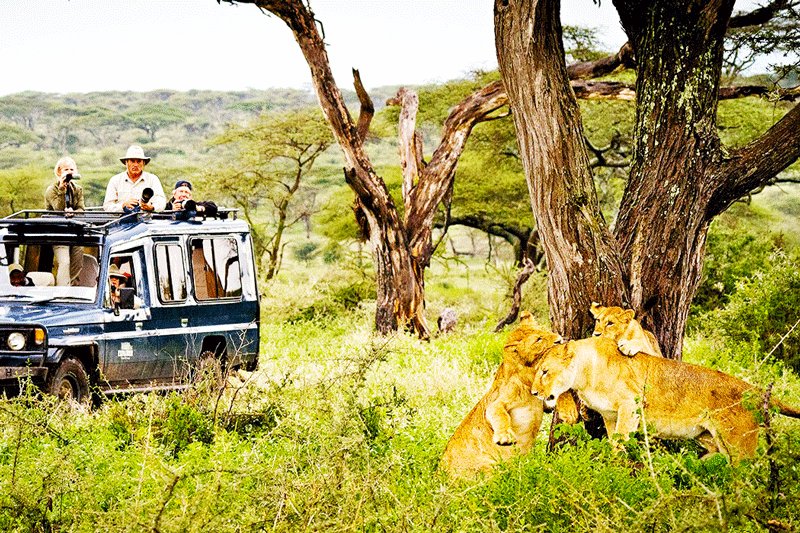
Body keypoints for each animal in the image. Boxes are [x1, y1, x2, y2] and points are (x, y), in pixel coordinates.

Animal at [440, 310, 580, 476]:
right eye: (538, 340)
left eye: (545, 330)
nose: (560, 340)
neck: (530, 375)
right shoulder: (499, 400)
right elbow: (499, 414)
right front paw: (504, 437)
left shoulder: (545, 403)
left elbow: (558, 391)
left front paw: (569, 411)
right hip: (487, 468)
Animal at [532, 334, 800, 460]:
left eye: (545, 371)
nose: (534, 393)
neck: (585, 374)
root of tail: (751, 389)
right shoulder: (610, 416)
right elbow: (613, 438)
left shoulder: (630, 404)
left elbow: (620, 442)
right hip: (712, 438)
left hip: (739, 444)